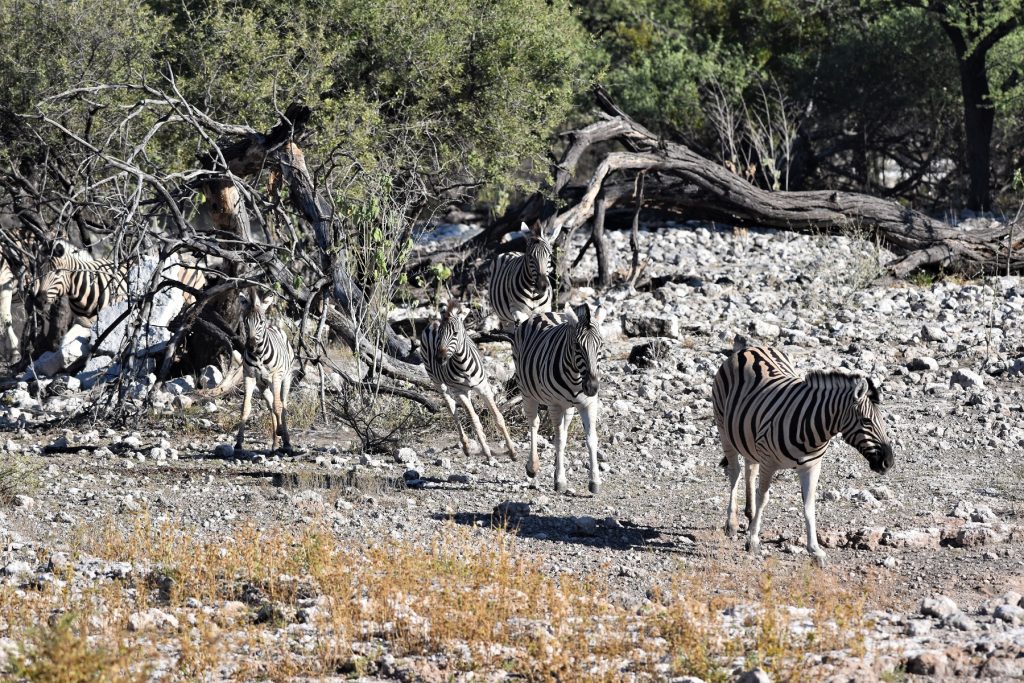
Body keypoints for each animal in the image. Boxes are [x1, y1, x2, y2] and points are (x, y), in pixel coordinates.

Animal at [234, 288, 294, 454]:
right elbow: (245, 407)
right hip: (263, 386)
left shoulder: (276, 377)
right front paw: (238, 443)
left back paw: (286, 441)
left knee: (282, 405)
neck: (259, 355)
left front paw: (281, 433)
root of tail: (275, 326)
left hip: (285, 379)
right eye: (245, 322)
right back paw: (275, 444)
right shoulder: (249, 376)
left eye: (261, 322)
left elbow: (279, 406)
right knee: (271, 405)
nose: (251, 347)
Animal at [417, 301, 516, 462]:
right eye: (439, 335)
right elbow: (474, 420)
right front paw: (487, 453)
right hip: (437, 382)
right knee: (453, 410)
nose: (439, 359)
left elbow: (498, 418)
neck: (462, 364)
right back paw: (467, 446)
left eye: (455, 333)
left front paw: (512, 451)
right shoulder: (460, 391)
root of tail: (433, 322)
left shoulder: (483, 387)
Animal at [512, 303, 606, 491]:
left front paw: (594, 481)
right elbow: (559, 440)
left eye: (600, 345)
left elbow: (591, 439)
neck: (577, 378)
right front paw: (560, 481)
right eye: (577, 346)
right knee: (534, 423)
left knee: (564, 426)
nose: (592, 387)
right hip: (526, 391)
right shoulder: (554, 405)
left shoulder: (589, 404)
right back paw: (532, 467)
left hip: (568, 407)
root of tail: (542, 313)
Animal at [712, 348, 897, 565]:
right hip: (724, 429)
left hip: (749, 437)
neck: (813, 428)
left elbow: (809, 505)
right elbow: (763, 497)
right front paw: (754, 541)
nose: (889, 462)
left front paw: (815, 549)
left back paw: (750, 516)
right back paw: (732, 524)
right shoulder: (768, 462)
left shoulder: (812, 466)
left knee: (750, 468)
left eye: (883, 420)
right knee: (735, 472)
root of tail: (750, 349)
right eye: (867, 421)